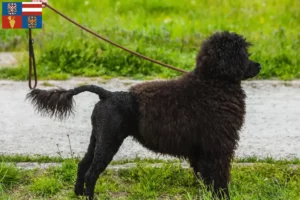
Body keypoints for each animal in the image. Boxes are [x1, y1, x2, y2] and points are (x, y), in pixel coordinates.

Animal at [26, 31, 260, 198]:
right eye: (242, 54)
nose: (259, 65)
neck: (212, 83)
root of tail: (106, 94)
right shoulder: (217, 147)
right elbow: (218, 176)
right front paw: (222, 196)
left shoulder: (202, 151)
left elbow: (205, 176)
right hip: (109, 140)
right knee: (92, 172)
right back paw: (90, 196)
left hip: (97, 138)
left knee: (83, 165)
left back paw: (78, 194)